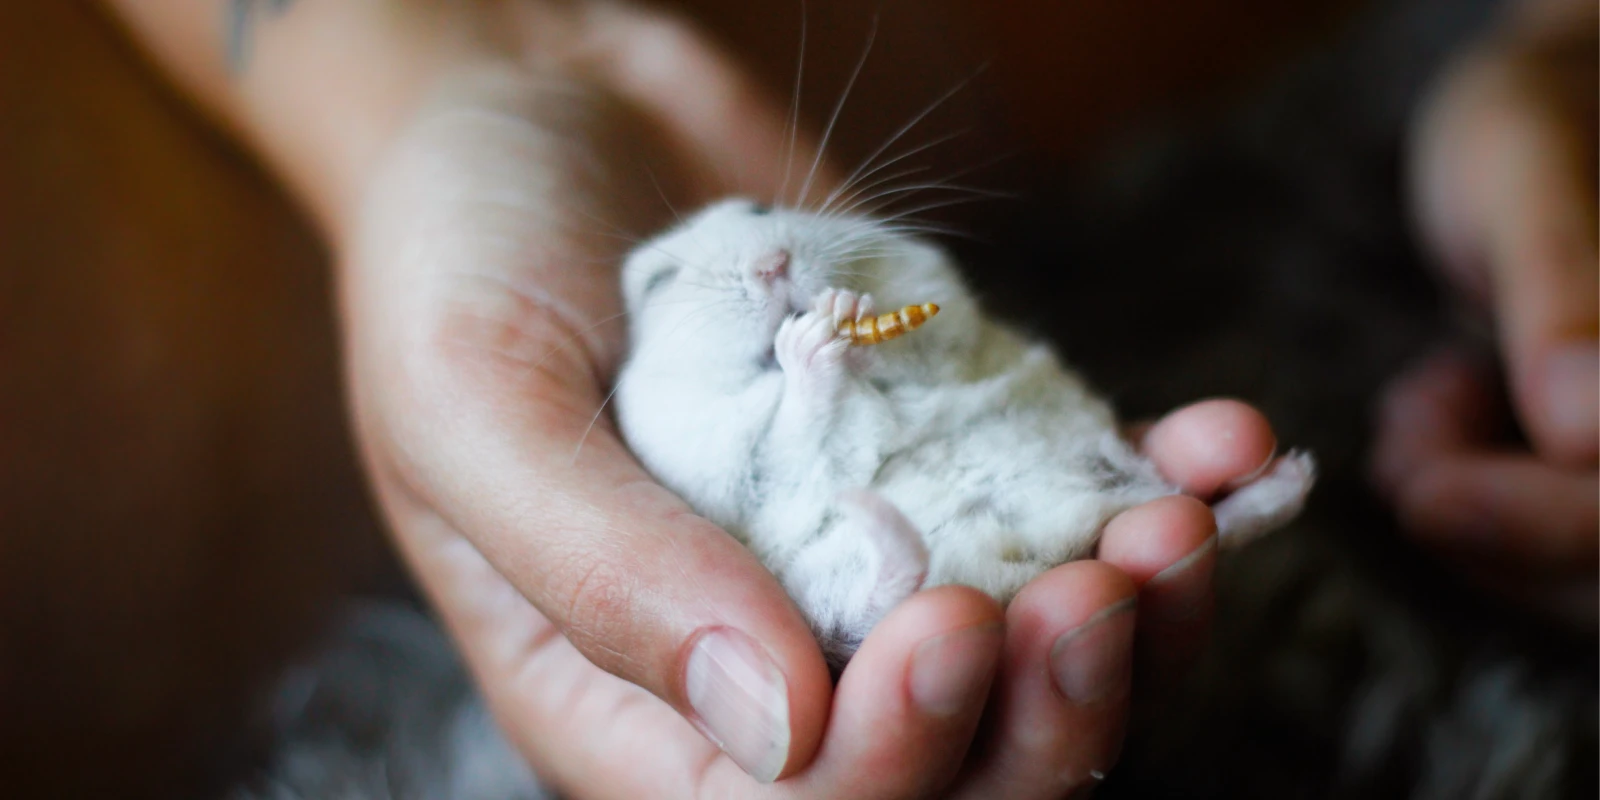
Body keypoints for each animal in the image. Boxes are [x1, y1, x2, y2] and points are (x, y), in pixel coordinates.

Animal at [614, 198, 1314, 666]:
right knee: (877, 602)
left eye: (761, 208)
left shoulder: (944, 321)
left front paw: (849, 311)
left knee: (1207, 521)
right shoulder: (737, 480)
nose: (773, 264)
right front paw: (811, 342)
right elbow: (798, 444)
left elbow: (917, 356)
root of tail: (1027, 571)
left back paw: (1293, 475)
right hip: (829, 595)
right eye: (659, 281)